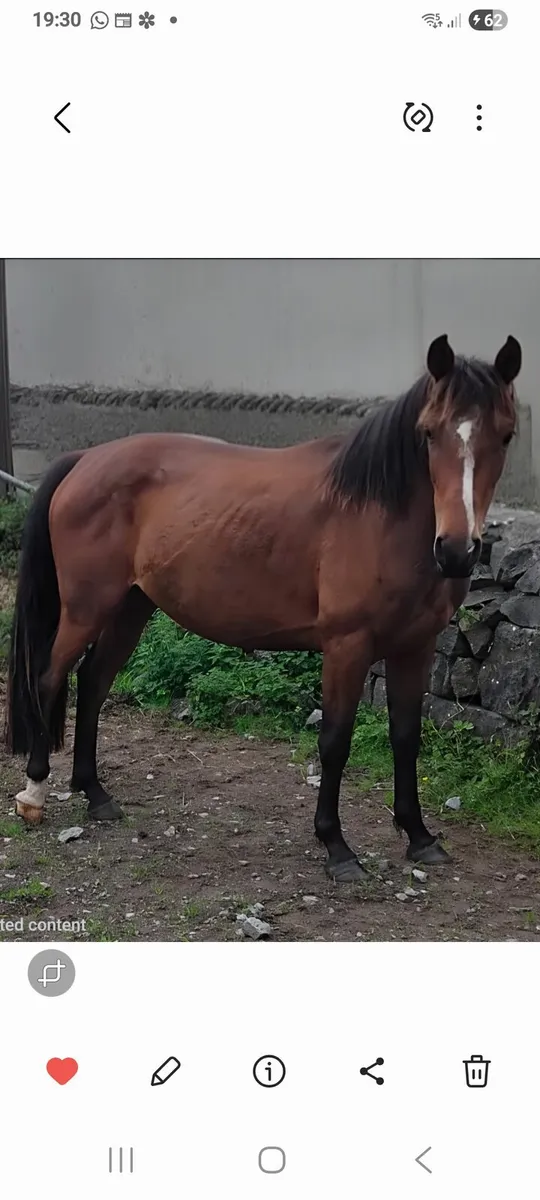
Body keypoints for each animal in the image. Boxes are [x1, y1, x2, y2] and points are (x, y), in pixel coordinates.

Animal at [4, 333, 521, 882]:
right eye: (427, 433)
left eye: (506, 435)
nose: (457, 550)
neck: (378, 513)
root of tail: (86, 459)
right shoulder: (347, 647)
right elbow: (335, 742)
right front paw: (337, 847)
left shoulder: (416, 648)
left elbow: (406, 736)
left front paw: (419, 836)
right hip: (86, 608)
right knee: (49, 679)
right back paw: (34, 792)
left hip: (130, 607)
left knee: (93, 682)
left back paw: (95, 793)